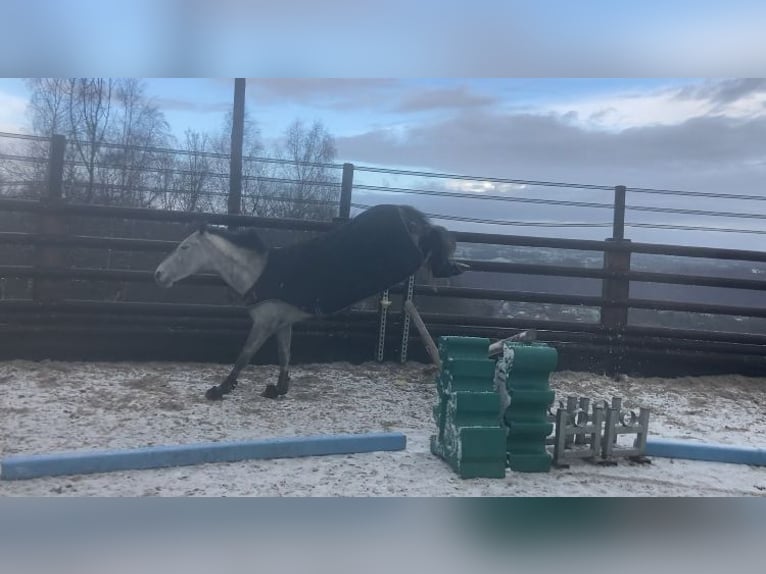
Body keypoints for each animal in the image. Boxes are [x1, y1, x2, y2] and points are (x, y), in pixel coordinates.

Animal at [154, 206, 468, 400]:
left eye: (184, 247)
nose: (158, 275)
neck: (259, 273)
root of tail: (403, 211)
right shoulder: (282, 323)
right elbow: (284, 355)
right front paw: (278, 389)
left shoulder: (264, 323)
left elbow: (245, 355)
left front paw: (220, 390)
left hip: (408, 255)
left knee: (431, 242)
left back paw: (452, 266)